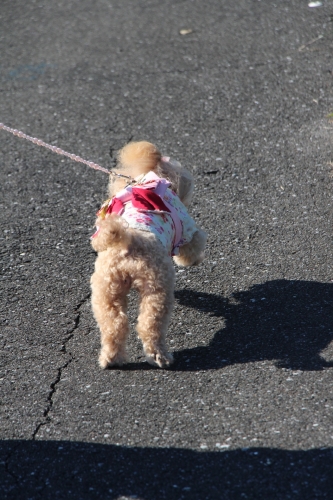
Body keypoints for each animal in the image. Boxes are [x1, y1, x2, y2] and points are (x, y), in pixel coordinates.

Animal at [89, 141, 206, 368]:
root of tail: (128, 242)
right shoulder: (187, 229)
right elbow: (193, 246)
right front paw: (193, 261)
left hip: (106, 289)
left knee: (114, 324)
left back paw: (111, 358)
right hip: (157, 288)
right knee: (149, 325)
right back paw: (160, 356)